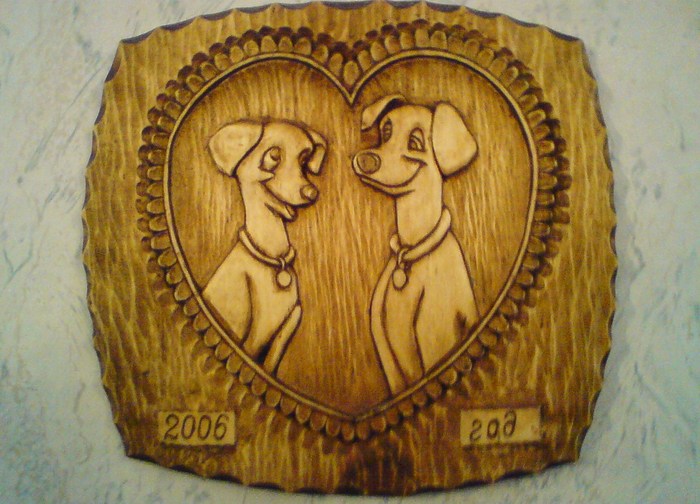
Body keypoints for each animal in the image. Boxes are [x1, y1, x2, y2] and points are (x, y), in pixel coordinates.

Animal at [204, 119, 326, 375]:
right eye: (274, 156)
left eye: (304, 160)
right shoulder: (252, 338)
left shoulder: (285, 330)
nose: (311, 192)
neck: (272, 258)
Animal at [352, 94, 480, 395]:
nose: (365, 160)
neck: (413, 251)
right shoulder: (389, 361)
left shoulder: (435, 345)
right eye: (385, 131)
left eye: (416, 142)